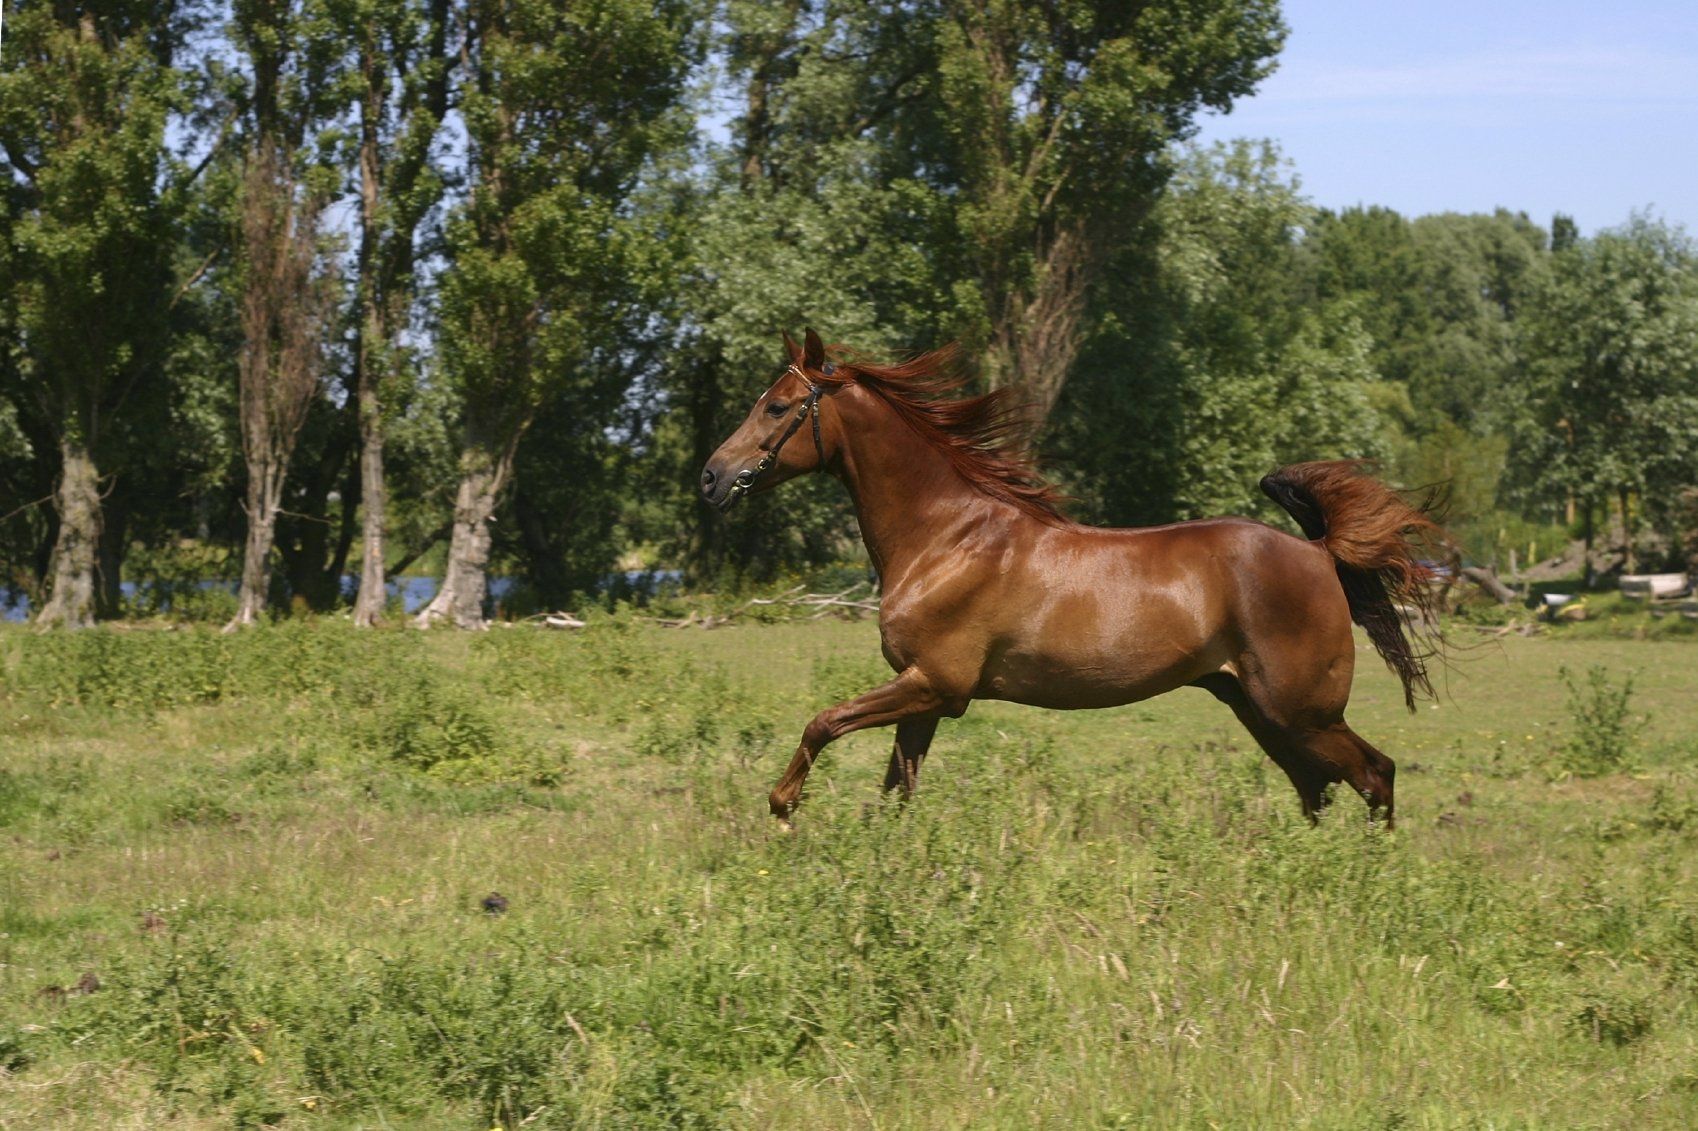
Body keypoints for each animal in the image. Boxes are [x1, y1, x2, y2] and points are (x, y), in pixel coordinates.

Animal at [696, 331, 1439, 825]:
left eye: (777, 406)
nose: (710, 477)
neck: (944, 539)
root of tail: (1318, 553)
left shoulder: (935, 684)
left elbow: (823, 723)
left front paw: (782, 807)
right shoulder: (925, 696)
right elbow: (897, 791)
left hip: (1302, 710)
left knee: (1374, 774)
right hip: (1258, 708)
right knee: (1318, 789)